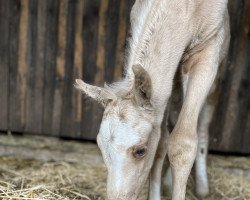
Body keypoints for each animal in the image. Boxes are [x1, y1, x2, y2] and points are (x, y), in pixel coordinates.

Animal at [74, 0, 230, 200]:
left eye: (141, 151)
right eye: (100, 145)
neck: (187, 10)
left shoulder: (206, 53)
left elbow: (182, 143)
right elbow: (161, 143)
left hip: (216, 77)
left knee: (203, 123)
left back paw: (202, 187)